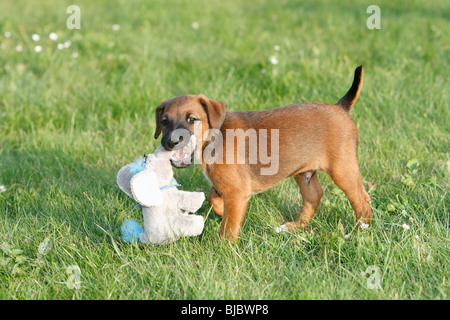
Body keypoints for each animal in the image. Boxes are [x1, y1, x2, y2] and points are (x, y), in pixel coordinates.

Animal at [153, 66, 370, 241]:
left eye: (192, 119)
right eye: (164, 121)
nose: (170, 142)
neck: (213, 139)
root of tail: (340, 107)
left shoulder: (236, 191)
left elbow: (228, 226)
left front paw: (224, 246)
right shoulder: (228, 187)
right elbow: (214, 199)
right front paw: (222, 213)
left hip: (342, 169)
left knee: (362, 199)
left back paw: (359, 232)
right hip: (304, 172)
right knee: (314, 196)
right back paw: (293, 227)